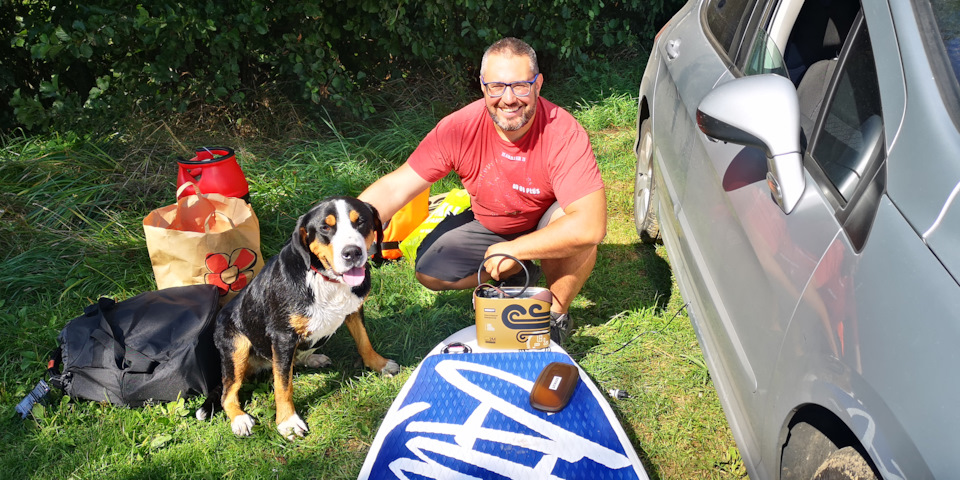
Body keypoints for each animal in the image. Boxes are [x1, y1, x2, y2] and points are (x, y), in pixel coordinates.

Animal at [198, 196, 398, 438]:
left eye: (360, 221)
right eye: (325, 227)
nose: (352, 253)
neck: (325, 280)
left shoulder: (354, 310)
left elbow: (364, 342)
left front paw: (380, 364)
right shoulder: (283, 336)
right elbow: (283, 385)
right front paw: (288, 421)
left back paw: (312, 358)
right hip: (237, 347)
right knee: (227, 393)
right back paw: (240, 419)